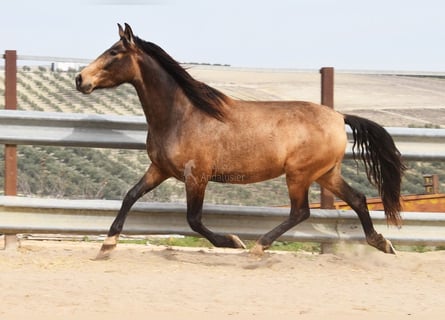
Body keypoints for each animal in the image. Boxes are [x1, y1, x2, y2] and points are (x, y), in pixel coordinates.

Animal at [74, 23, 404, 260]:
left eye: (114, 52)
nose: (80, 79)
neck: (182, 115)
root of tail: (339, 116)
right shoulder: (159, 169)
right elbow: (130, 196)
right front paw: (107, 244)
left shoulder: (197, 176)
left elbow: (193, 219)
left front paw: (233, 241)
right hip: (325, 174)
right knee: (358, 199)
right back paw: (383, 243)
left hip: (299, 175)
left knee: (301, 212)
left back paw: (258, 246)